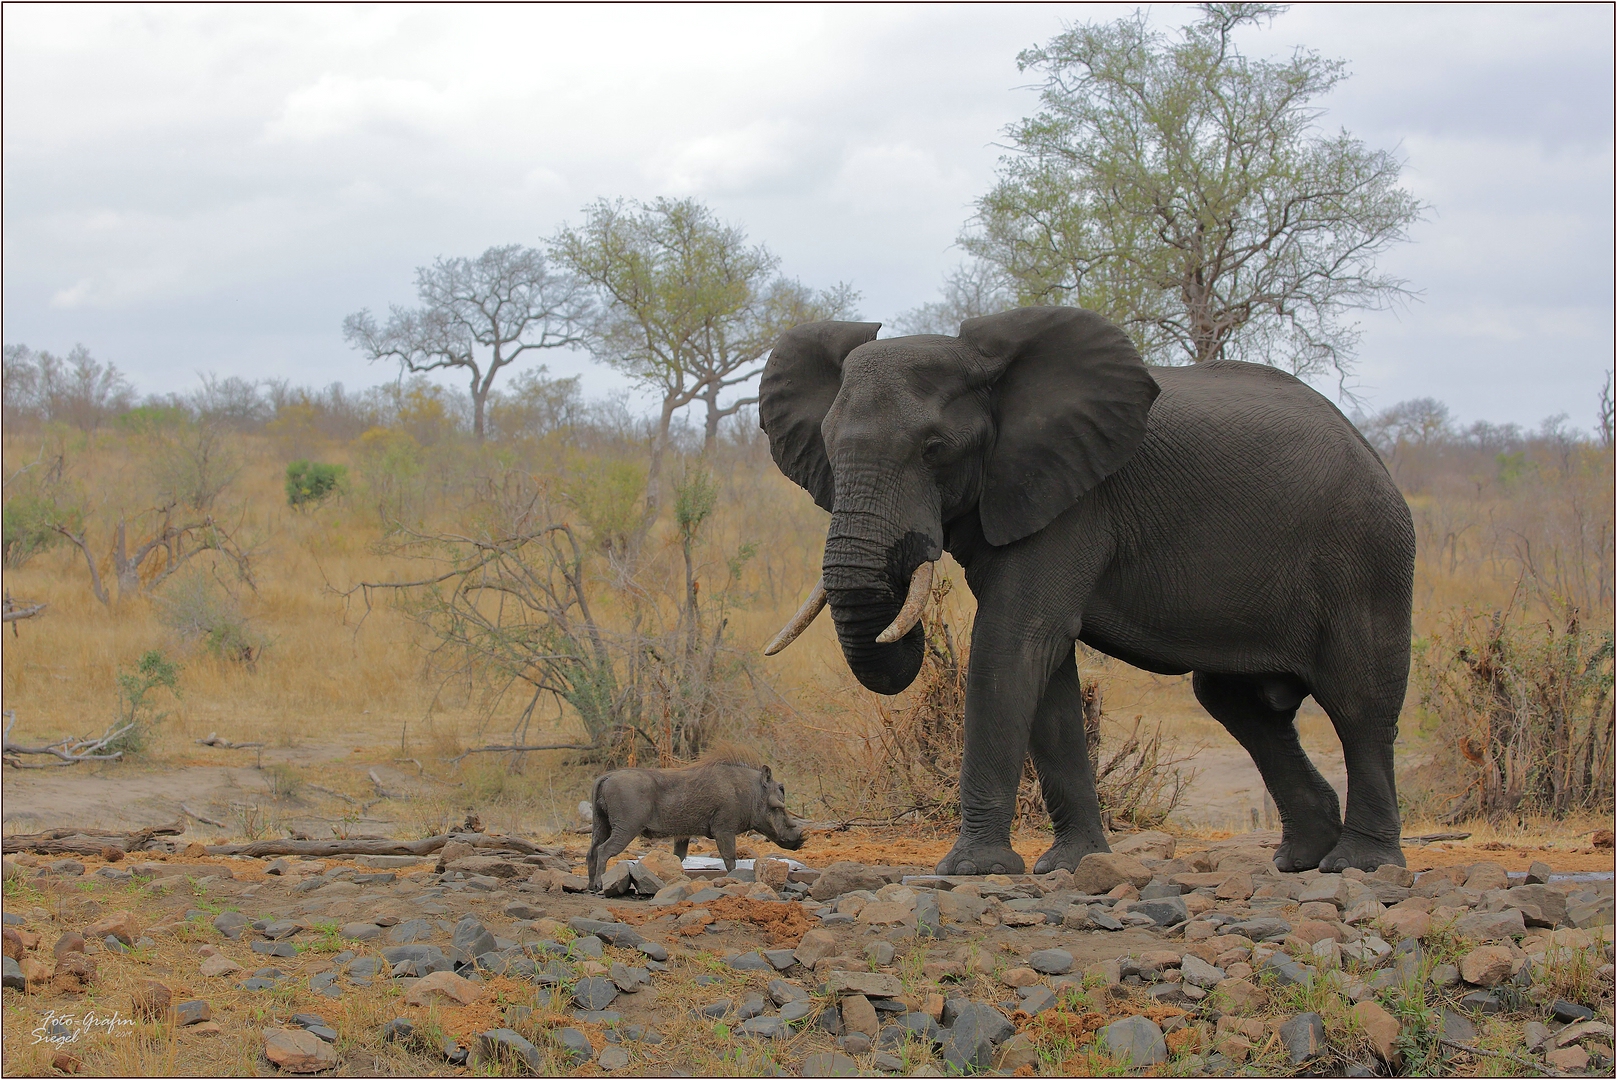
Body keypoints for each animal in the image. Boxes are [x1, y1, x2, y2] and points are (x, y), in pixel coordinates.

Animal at [756, 305, 1416, 879]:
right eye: (829, 447)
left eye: (934, 449)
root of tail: (1372, 451)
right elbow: (1045, 671)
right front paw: (1070, 865)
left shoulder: (1075, 500)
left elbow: (1012, 640)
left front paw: (971, 870)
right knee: (1240, 705)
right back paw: (1301, 857)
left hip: (1367, 555)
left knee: (1359, 702)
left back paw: (1359, 864)